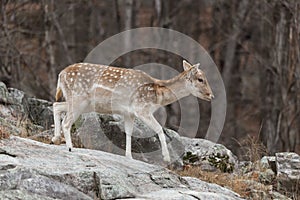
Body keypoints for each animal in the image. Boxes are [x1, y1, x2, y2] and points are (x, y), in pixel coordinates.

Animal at [51, 60, 213, 162]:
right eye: (200, 79)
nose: (211, 95)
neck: (158, 94)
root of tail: (60, 74)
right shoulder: (142, 108)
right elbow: (159, 129)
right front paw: (166, 158)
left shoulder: (129, 113)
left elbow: (128, 132)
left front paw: (129, 156)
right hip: (78, 99)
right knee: (66, 122)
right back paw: (69, 147)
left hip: (81, 103)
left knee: (56, 105)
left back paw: (56, 139)